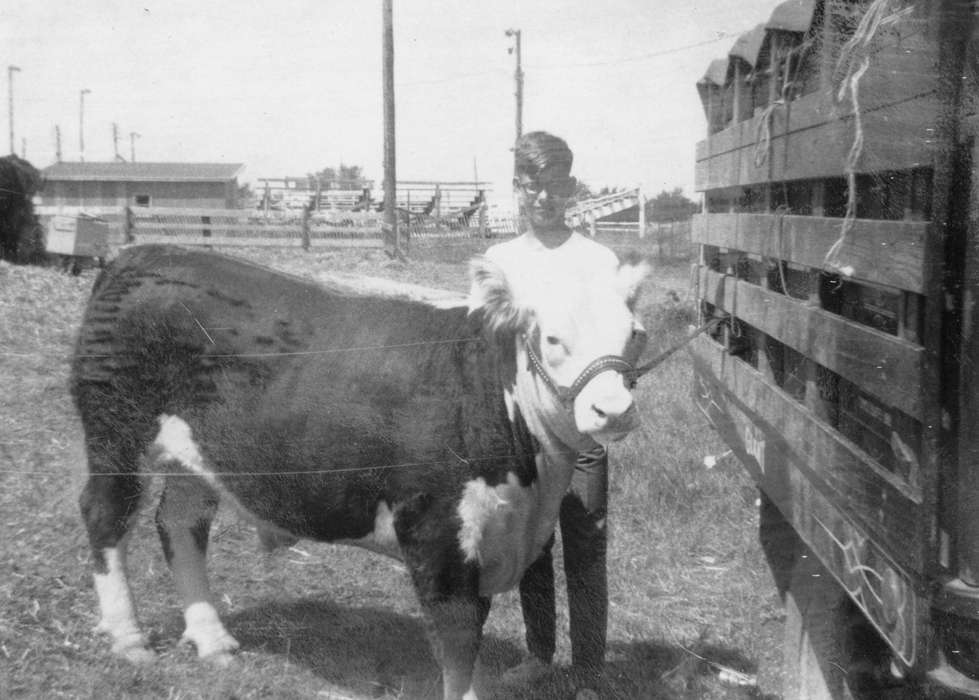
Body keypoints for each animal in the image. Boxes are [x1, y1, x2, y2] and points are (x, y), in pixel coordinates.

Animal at [72, 243, 648, 696]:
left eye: (635, 334)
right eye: (552, 338)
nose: (614, 410)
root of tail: (137, 255)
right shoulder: (437, 534)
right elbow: (457, 641)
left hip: (194, 457)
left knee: (179, 524)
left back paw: (213, 640)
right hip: (113, 431)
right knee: (105, 515)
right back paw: (128, 638)